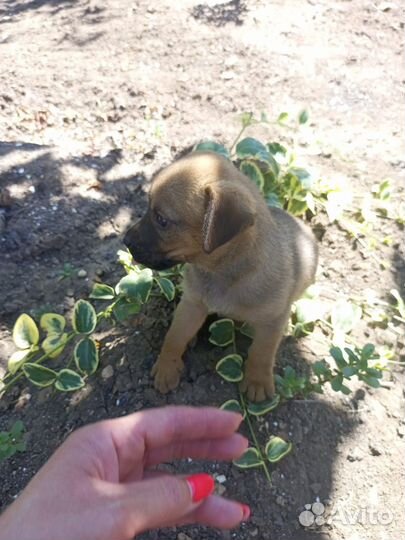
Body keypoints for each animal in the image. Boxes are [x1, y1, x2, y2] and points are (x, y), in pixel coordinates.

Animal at [124, 152, 318, 400]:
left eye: (162, 220)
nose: (126, 241)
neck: (221, 273)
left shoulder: (273, 320)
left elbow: (262, 351)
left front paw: (257, 381)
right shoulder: (192, 303)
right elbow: (175, 336)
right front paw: (167, 366)